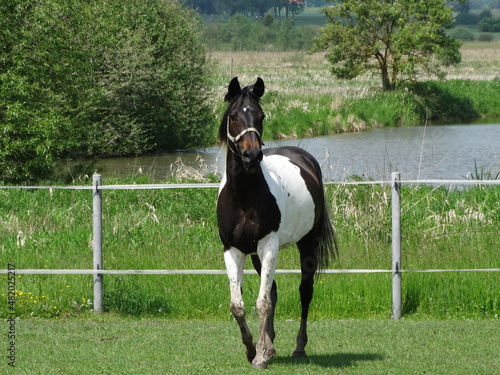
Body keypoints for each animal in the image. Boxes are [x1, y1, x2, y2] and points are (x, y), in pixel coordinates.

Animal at [217, 77, 338, 370]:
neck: (243, 196)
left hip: (306, 244)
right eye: (234, 116)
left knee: (305, 292)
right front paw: (253, 349)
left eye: (260, 116)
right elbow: (238, 304)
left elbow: (262, 303)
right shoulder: (233, 250)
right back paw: (270, 344)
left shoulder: (268, 244)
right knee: (273, 291)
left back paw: (298, 347)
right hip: (257, 255)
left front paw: (260, 355)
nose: (251, 156)